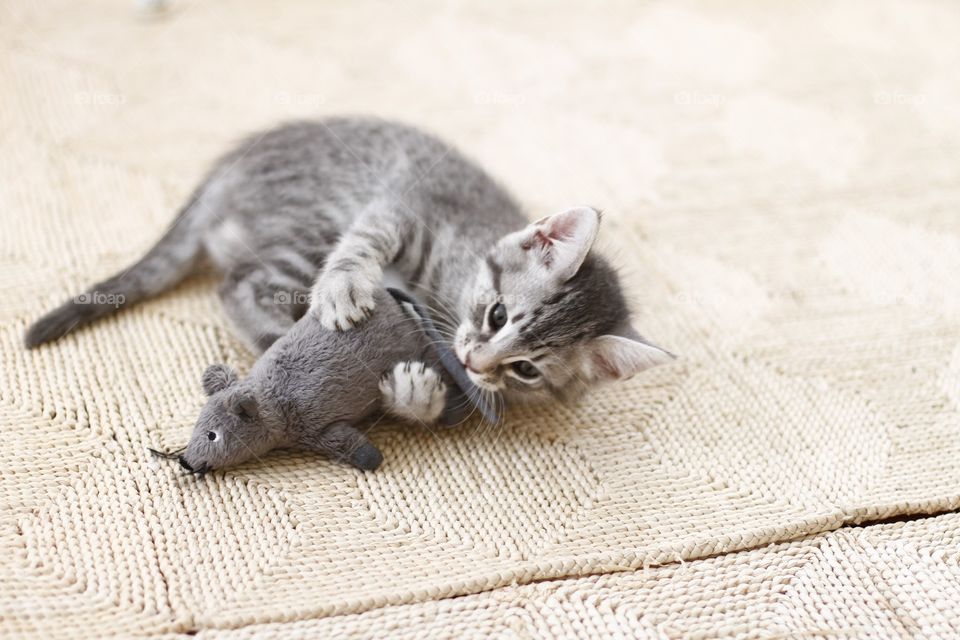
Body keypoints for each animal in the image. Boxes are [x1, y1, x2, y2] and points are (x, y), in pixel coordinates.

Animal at [28, 118, 676, 422]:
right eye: (496, 315)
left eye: (526, 371)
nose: (474, 361)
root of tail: (225, 170)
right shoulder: (402, 206)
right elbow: (364, 241)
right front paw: (343, 289)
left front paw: (416, 395)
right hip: (311, 224)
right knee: (239, 285)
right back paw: (276, 334)